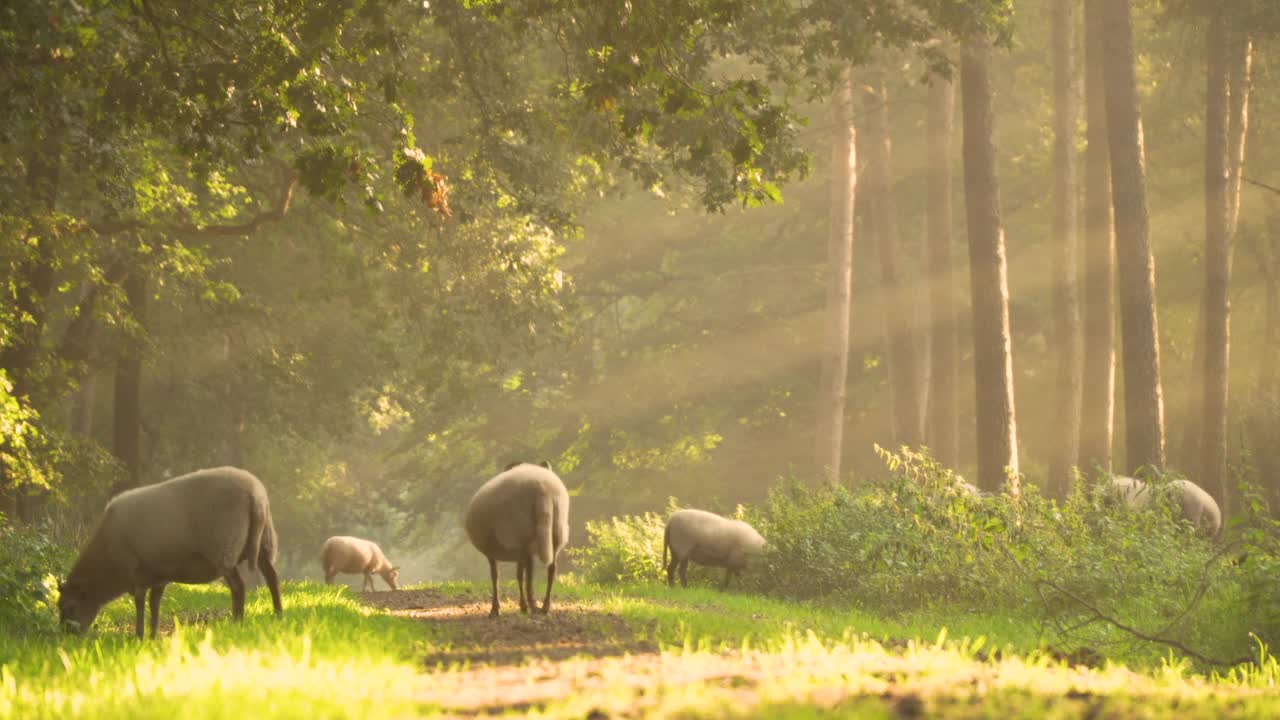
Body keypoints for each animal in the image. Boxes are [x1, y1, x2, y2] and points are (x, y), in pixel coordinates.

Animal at [56, 466, 282, 638]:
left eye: (70, 606)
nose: (65, 636)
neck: (107, 558)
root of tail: (255, 495)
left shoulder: (136, 571)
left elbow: (140, 603)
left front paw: (139, 635)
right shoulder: (159, 575)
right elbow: (154, 604)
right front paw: (152, 635)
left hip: (223, 548)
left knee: (239, 587)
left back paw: (237, 622)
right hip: (265, 541)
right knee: (272, 578)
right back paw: (278, 615)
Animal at [465, 461, 570, 614]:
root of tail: (542, 489)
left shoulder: (495, 551)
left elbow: (496, 575)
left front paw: (496, 609)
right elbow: (516, 575)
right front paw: (520, 606)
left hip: (522, 535)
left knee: (529, 574)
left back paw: (532, 605)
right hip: (556, 532)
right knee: (551, 569)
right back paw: (545, 607)